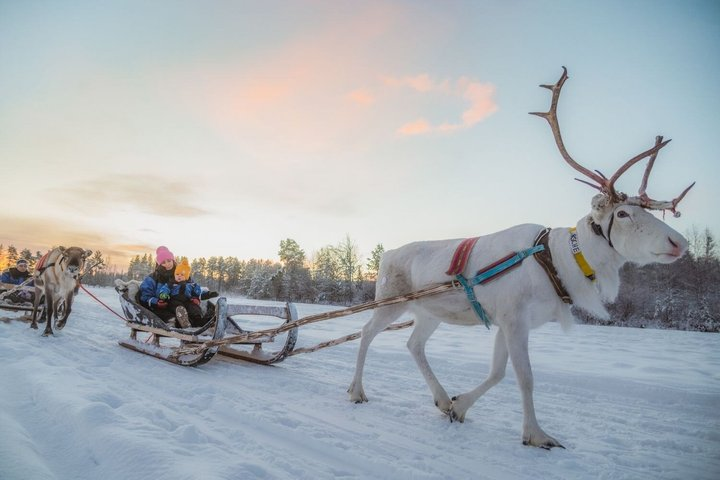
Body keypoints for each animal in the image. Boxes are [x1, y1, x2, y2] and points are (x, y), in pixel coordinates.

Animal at [347, 67, 694, 449]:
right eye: (622, 214)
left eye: (645, 211)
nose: (680, 242)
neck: (558, 261)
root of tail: (388, 254)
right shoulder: (514, 319)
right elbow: (525, 377)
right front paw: (537, 434)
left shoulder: (508, 322)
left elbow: (498, 372)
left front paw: (459, 406)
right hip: (391, 301)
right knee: (365, 332)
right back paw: (356, 390)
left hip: (429, 313)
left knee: (413, 344)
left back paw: (439, 398)